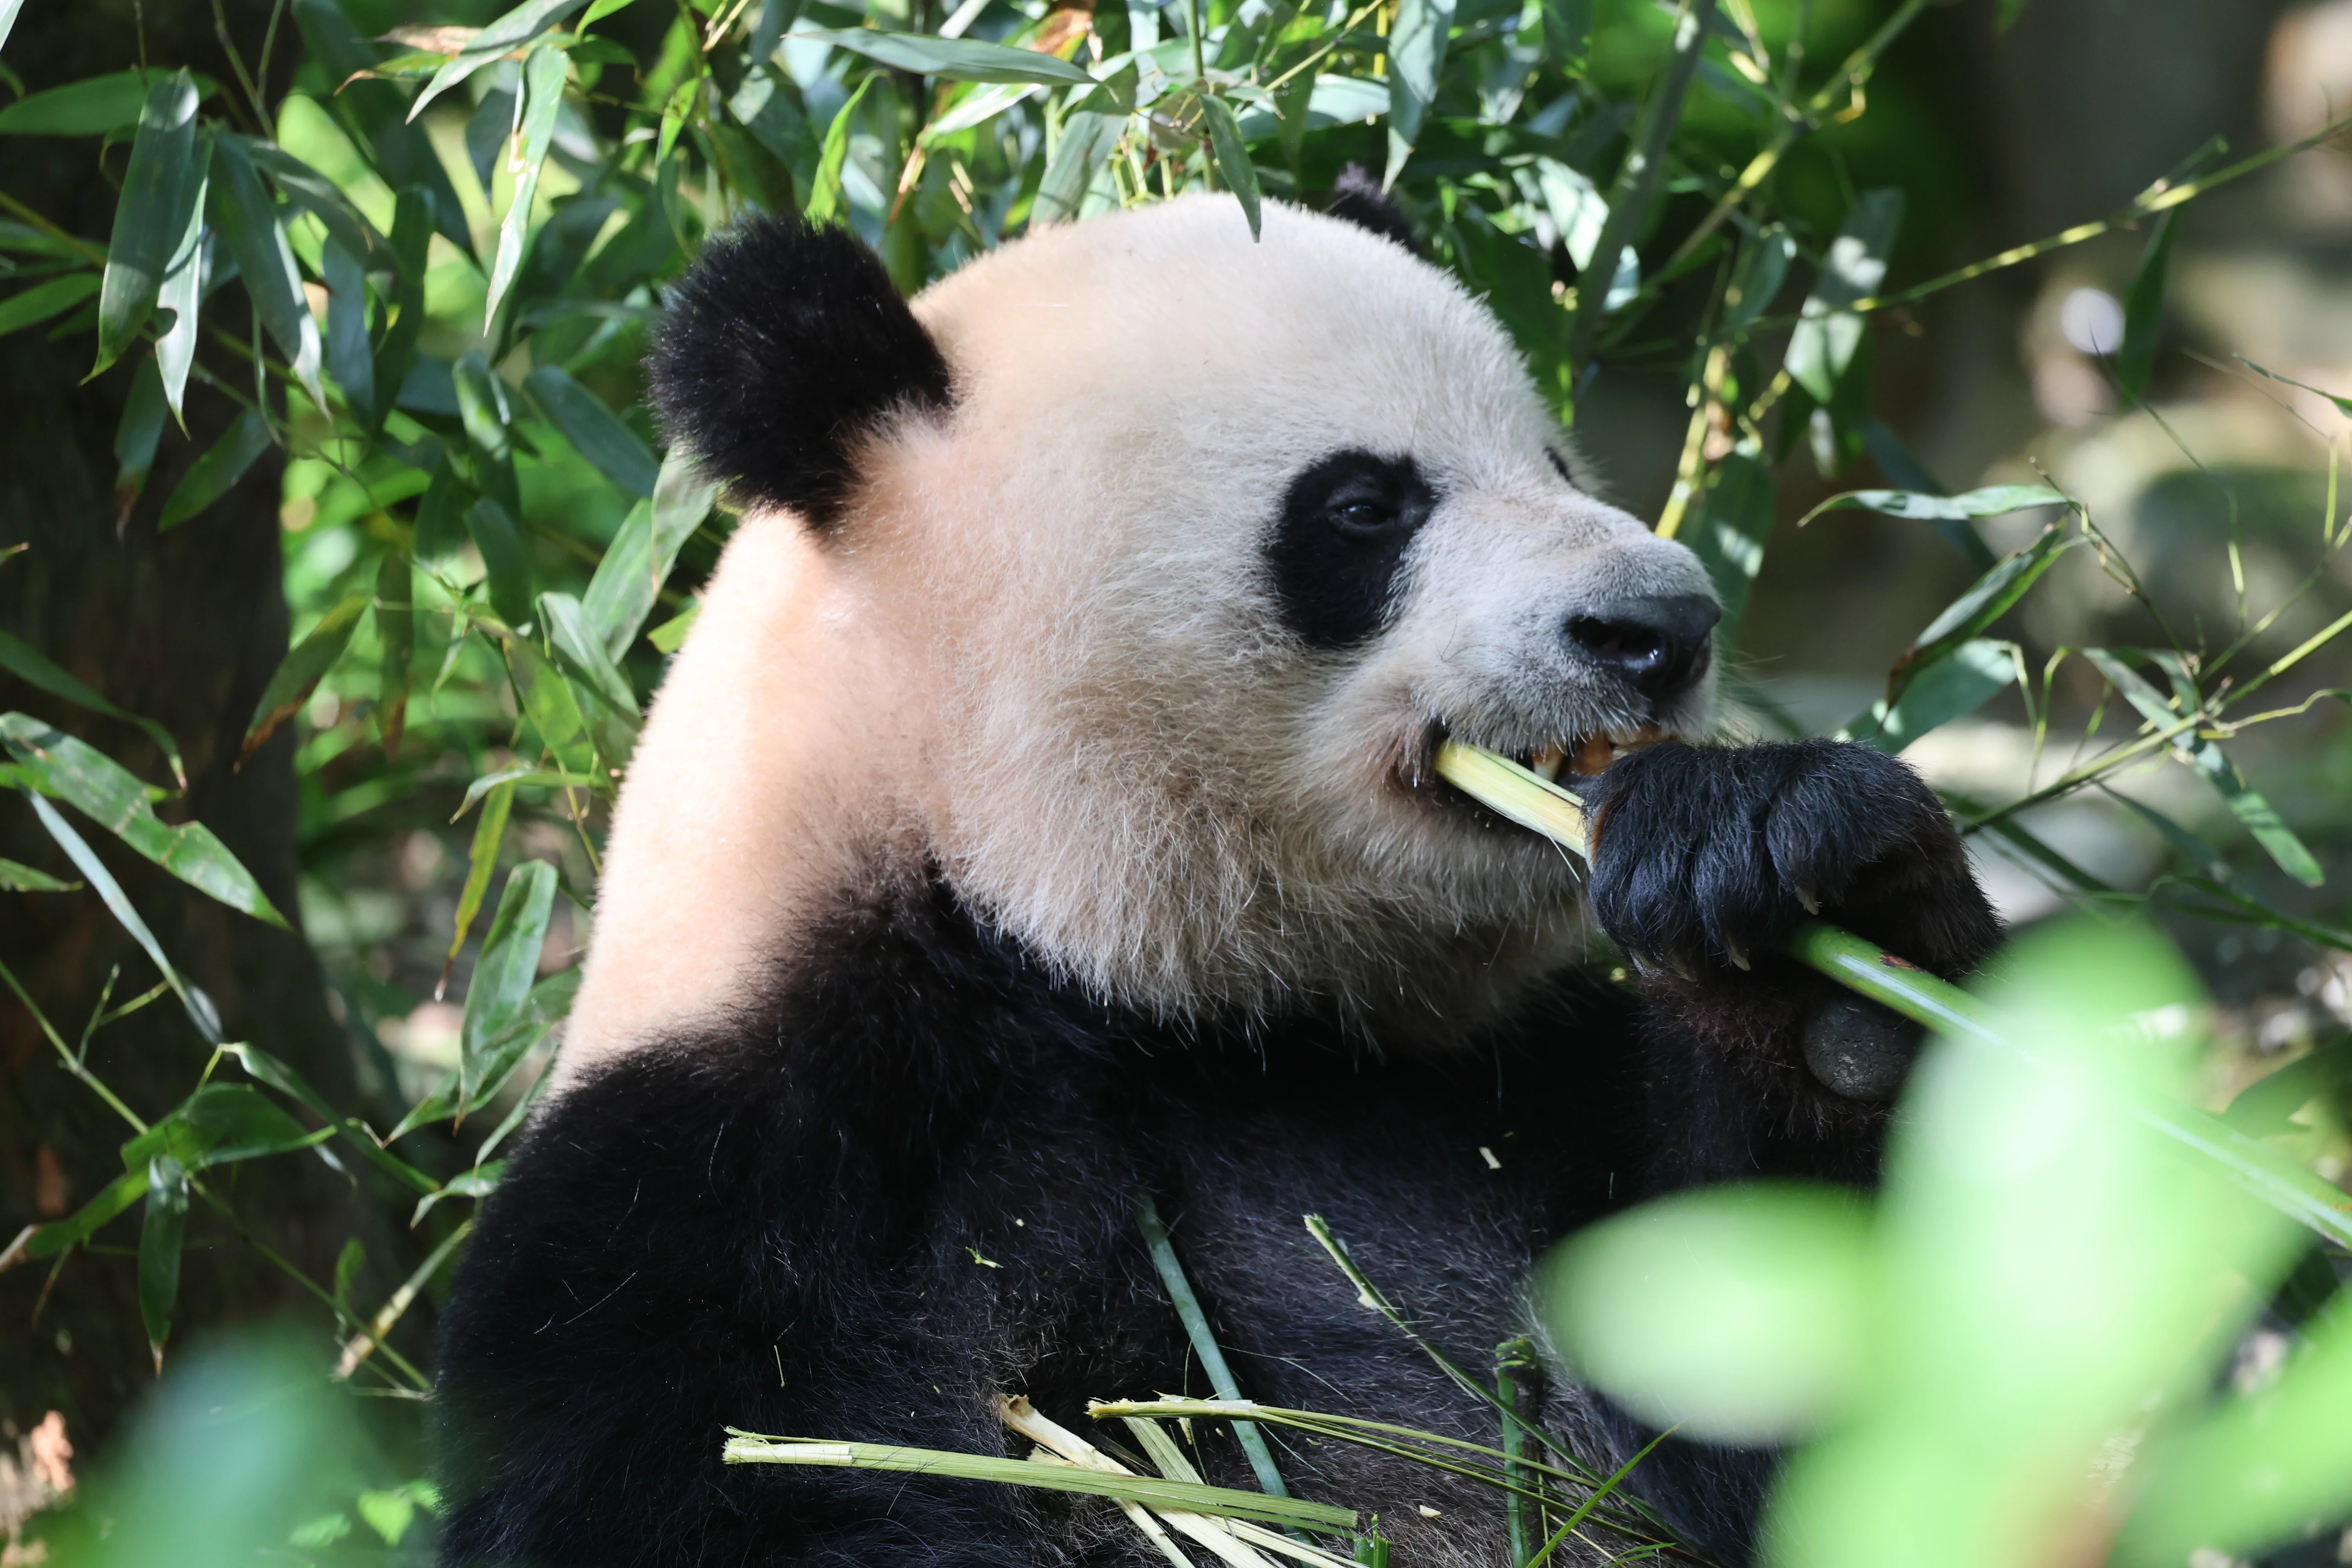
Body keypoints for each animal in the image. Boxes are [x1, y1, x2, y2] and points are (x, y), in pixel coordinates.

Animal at [431, 180, 2000, 1568]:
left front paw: (1803, 917)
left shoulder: (1519, 1099)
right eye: (1361, 506)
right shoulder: (722, 1200)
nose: (1658, 626)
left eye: (1555, 460)